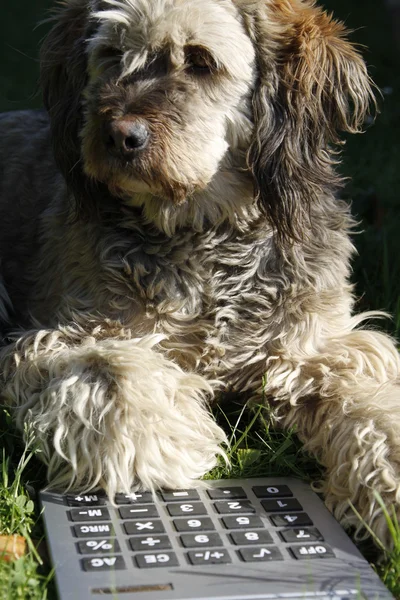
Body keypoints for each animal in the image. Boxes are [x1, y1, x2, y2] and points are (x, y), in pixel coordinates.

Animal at [0, 0, 400, 548]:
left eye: (200, 61)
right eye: (111, 54)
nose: (119, 135)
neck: (206, 233)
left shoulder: (313, 348)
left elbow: (368, 396)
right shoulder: (68, 331)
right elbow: (111, 365)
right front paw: (157, 448)